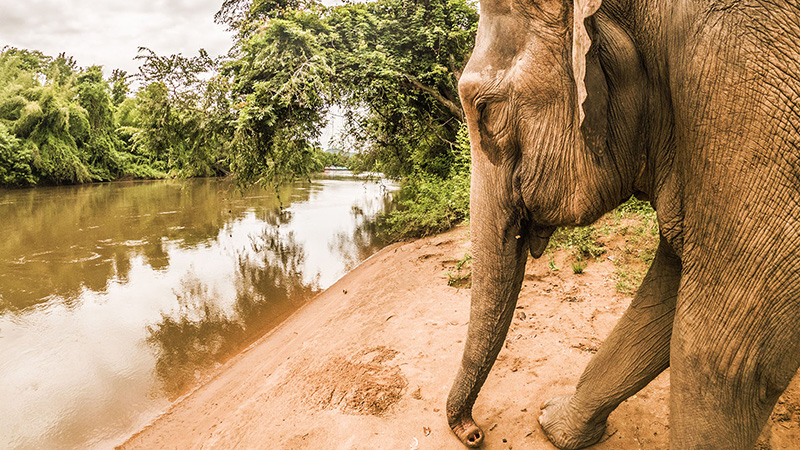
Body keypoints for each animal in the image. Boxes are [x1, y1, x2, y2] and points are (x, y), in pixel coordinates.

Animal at [446, 0, 800, 449]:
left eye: (485, 110)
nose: (475, 432)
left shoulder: (747, 85)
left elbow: (725, 349)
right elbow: (666, 297)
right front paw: (553, 425)